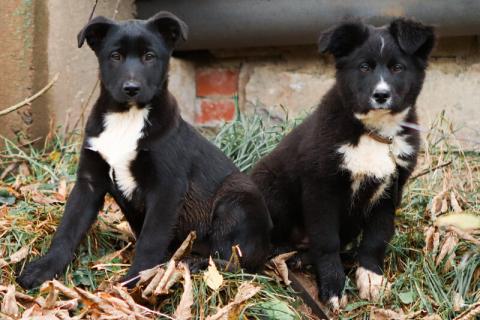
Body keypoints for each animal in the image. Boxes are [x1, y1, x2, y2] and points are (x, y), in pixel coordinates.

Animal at [16, 11, 272, 290]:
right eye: (115, 56)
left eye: (149, 56)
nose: (131, 88)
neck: (127, 117)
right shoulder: (89, 182)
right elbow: (67, 229)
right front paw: (44, 268)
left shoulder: (166, 188)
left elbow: (151, 239)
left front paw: (134, 281)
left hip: (236, 198)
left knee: (235, 263)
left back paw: (193, 263)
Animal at [251, 18, 436, 308]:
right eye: (364, 67)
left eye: (397, 68)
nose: (381, 95)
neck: (374, 133)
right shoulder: (322, 189)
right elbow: (327, 241)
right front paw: (332, 287)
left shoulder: (389, 191)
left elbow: (376, 238)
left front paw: (370, 277)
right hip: (271, 189)